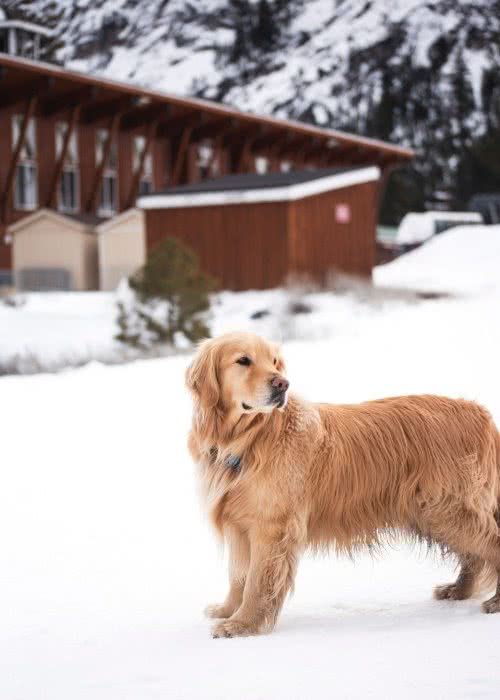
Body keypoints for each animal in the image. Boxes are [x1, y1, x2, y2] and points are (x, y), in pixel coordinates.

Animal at [186, 330, 500, 636]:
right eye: (243, 360)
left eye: (274, 362)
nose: (282, 384)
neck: (248, 439)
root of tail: (480, 413)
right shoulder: (238, 524)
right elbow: (237, 576)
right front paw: (228, 610)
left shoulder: (271, 527)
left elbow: (256, 581)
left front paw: (243, 624)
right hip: (434, 513)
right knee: (474, 556)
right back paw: (458, 590)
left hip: (447, 510)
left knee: (490, 545)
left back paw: (494, 601)